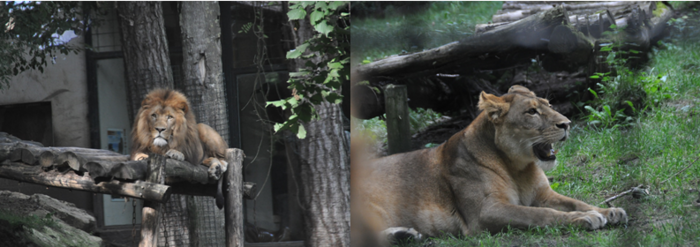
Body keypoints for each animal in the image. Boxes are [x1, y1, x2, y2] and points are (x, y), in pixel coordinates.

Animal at [364, 85, 628, 243]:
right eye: (531, 112)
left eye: (549, 105)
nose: (567, 124)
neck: (518, 167)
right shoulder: (485, 212)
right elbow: (538, 214)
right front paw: (585, 218)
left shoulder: (543, 194)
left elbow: (576, 202)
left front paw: (609, 211)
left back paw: (404, 234)